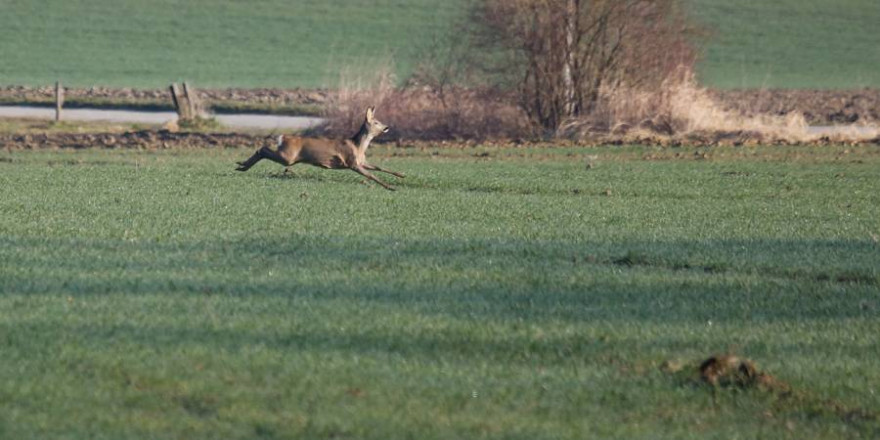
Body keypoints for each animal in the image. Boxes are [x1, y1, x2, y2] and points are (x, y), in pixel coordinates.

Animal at [235, 107, 404, 190]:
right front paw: (390, 187)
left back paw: (241, 165)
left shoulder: (361, 162)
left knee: (262, 150)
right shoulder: (352, 163)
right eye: (376, 122)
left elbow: (380, 167)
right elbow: (371, 175)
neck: (358, 146)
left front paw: (401, 175)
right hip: (288, 157)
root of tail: (283, 137)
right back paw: (242, 166)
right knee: (262, 149)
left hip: (287, 156)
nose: (387, 127)